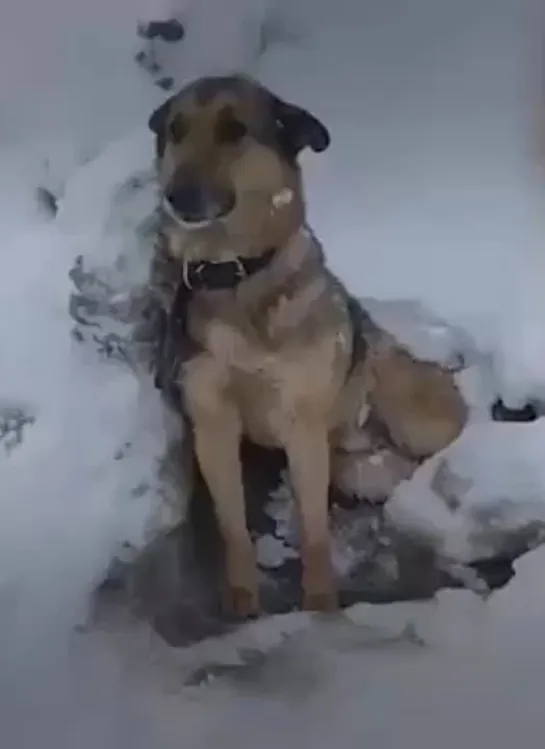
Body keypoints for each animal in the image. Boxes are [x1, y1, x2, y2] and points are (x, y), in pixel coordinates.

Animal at [146, 73, 468, 616]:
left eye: (234, 130)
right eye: (177, 130)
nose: (176, 196)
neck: (236, 274)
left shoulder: (302, 423)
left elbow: (315, 528)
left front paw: (320, 603)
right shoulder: (213, 423)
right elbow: (233, 525)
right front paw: (242, 600)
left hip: (411, 412)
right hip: (356, 468)